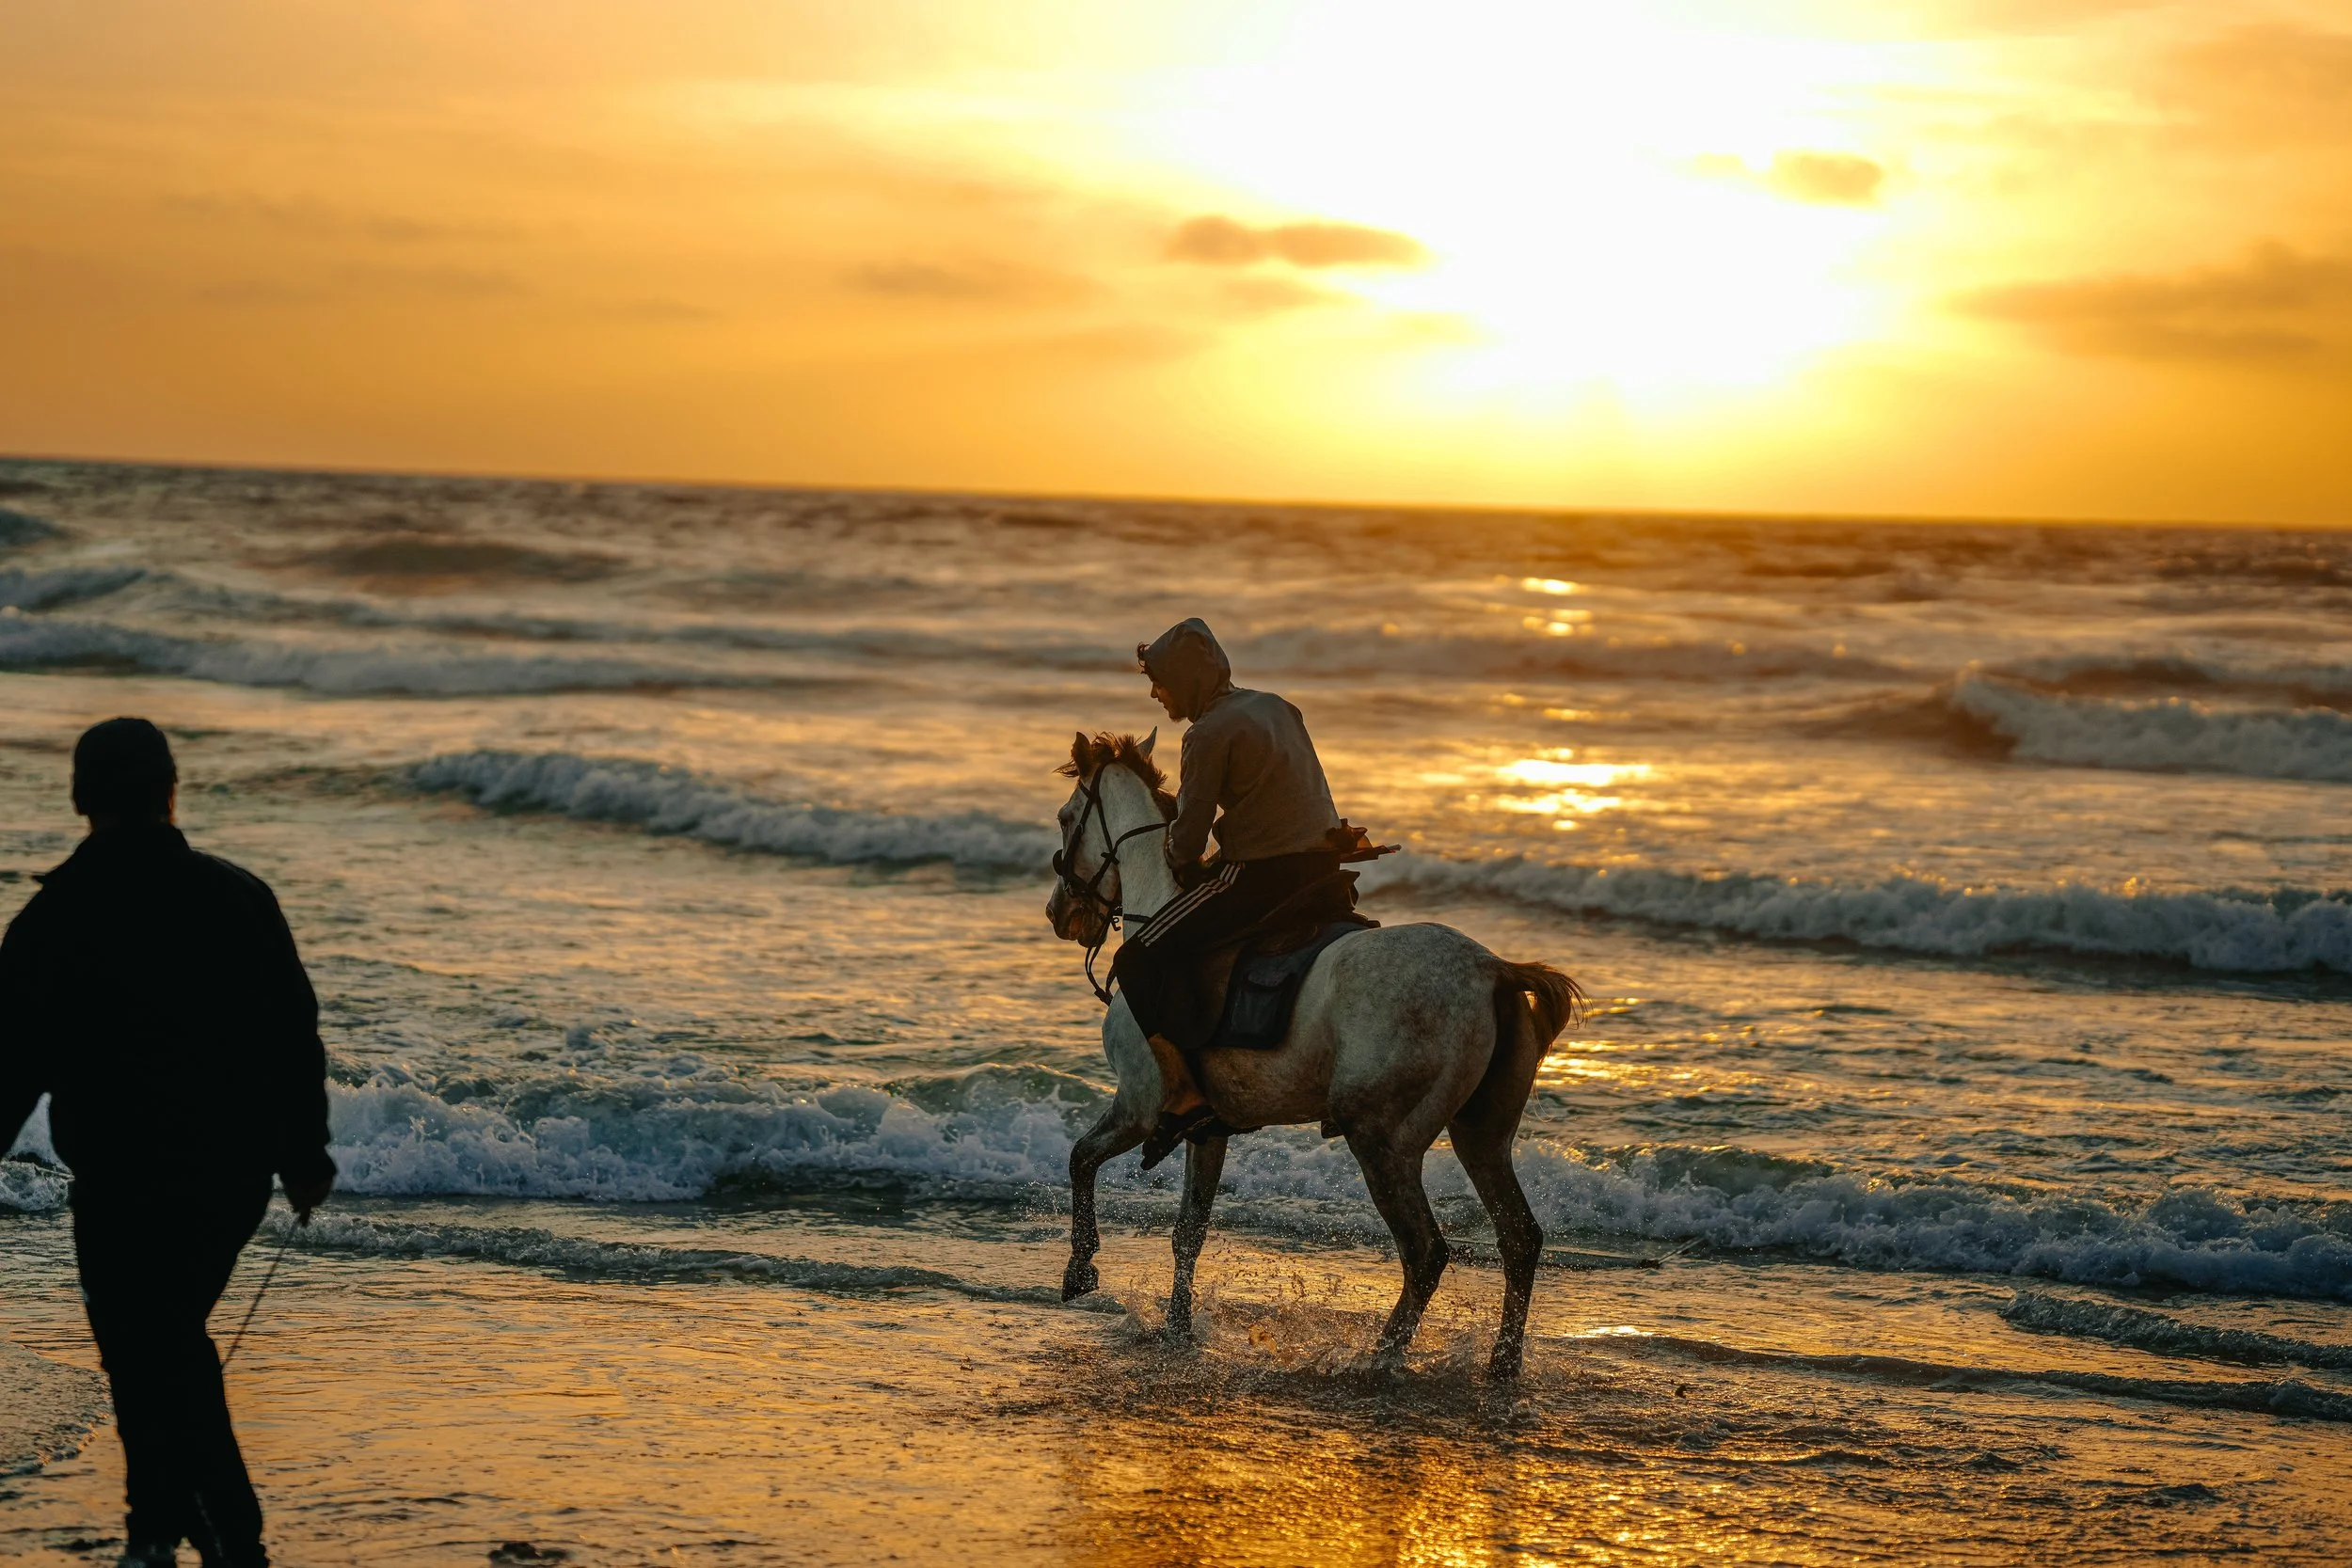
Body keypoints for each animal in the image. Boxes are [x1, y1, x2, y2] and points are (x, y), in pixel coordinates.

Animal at [1045, 730, 1583, 1377]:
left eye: (1066, 816)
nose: (1059, 913)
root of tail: (1491, 970)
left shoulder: (1139, 1107)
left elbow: (1080, 1158)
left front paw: (1080, 1270)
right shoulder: (1208, 1130)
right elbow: (1188, 1232)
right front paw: (1176, 1328)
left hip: (1380, 1138)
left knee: (1426, 1252)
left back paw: (1380, 1359)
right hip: (1482, 1134)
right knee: (1519, 1238)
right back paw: (1501, 1364)